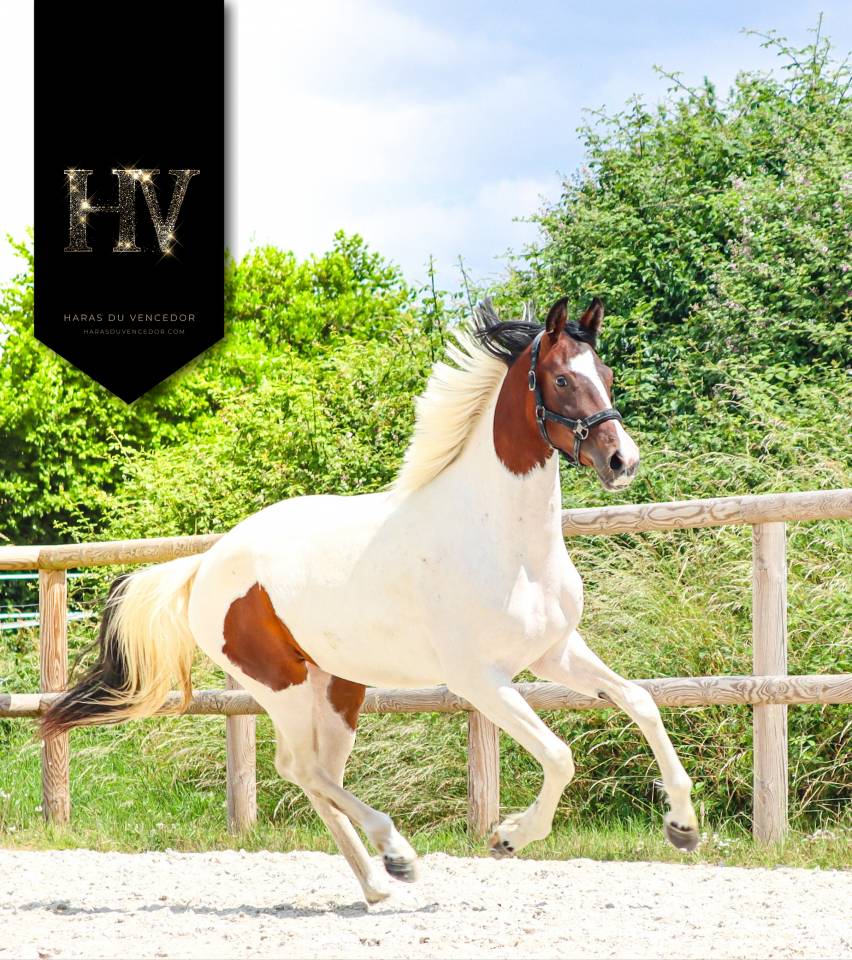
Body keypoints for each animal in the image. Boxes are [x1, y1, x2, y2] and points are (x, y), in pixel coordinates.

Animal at [42, 296, 699, 904]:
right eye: (562, 378)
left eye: (606, 373)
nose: (622, 461)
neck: (503, 540)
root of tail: (205, 563)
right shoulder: (479, 679)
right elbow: (560, 756)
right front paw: (508, 836)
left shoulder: (554, 653)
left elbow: (642, 702)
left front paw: (683, 827)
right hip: (278, 682)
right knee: (302, 768)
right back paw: (397, 854)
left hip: (339, 686)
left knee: (317, 773)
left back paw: (379, 883)